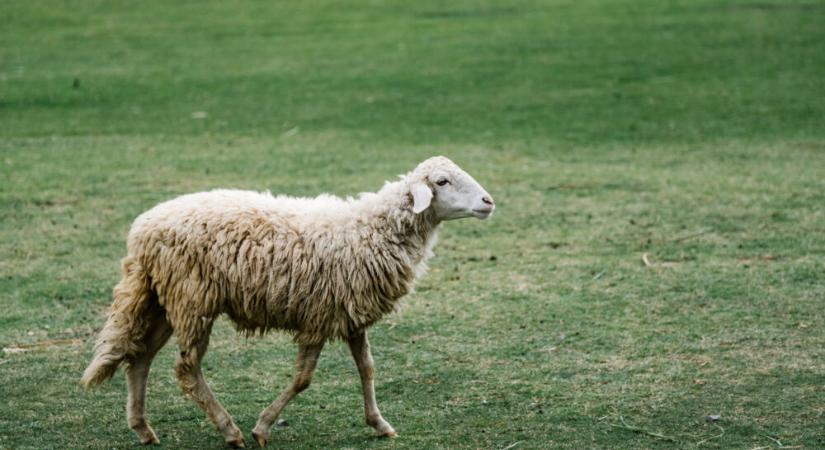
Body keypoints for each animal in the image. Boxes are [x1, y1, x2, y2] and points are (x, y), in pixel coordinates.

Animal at [82, 155, 496, 446]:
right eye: (442, 181)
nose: (489, 201)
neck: (370, 230)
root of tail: (141, 230)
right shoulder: (318, 317)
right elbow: (303, 379)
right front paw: (262, 428)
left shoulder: (350, 314)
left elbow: (367, 368)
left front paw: (379, 423)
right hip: (192, 299)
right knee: (186, 369)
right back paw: (229, 430)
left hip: (165, 300)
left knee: (140, 358)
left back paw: (143, 429)